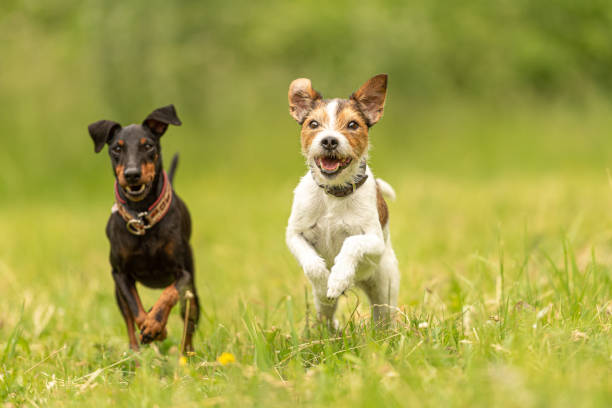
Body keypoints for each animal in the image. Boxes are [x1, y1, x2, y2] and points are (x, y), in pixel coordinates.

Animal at [288, 75, 402, 326]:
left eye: (352, 125)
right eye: (313, 124)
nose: (329, 140)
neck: (334, 193)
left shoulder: (374, 241)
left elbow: (352, 242)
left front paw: (339, 277)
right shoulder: (294, 235)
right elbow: (312, 264)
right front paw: (324, 281)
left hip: (385, 291)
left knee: (383, 318)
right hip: (325, 308)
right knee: (327, 317)